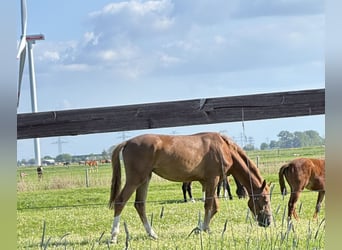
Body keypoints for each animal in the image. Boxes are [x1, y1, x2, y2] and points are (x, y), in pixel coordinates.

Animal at [109, 132, 272, 243]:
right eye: (264, 200)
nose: (268, 222)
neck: (224, 148)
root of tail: (127, 141)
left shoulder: (210, 182)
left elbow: (214, 206)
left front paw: (203, 228)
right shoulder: (213, 180)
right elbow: (209, 205)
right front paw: (202, 229)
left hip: (145, 179)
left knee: (140, 204)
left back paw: (152, 234)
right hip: (135, 179)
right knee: (120, 201)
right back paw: (113, 237)